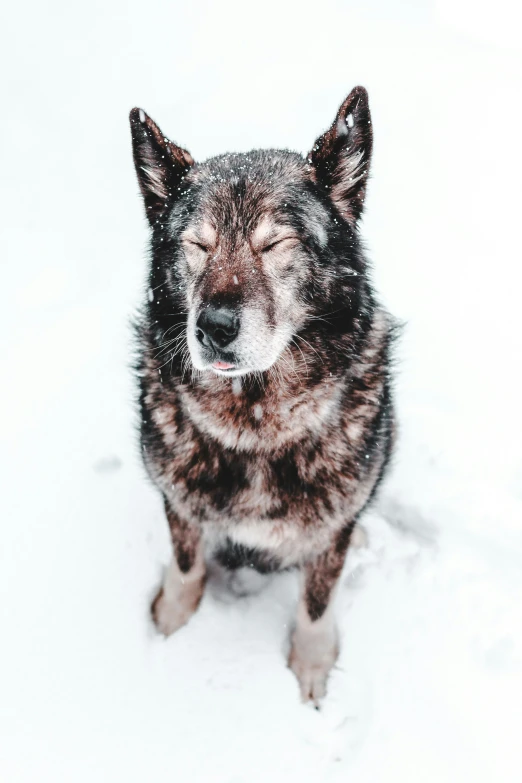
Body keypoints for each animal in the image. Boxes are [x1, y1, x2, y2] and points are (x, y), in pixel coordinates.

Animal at [129, 87, 394, 704]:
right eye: (197, 245)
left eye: (276, 242)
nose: (214, 327)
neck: (254, 426)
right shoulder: (179, 503)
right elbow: (185, 564)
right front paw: (172, 623)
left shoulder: (327, 539)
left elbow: (317, 602)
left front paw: (312, 664)